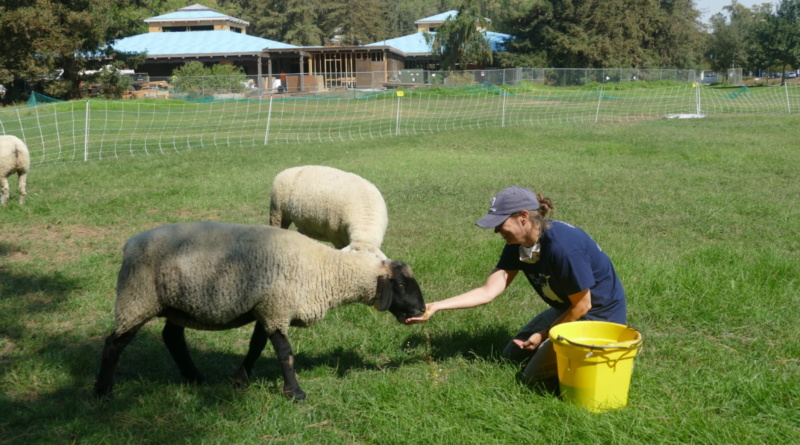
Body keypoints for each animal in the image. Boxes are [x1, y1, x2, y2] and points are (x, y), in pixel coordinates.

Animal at [94, 221, 426, 400]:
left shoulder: (267, 308)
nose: (422, 308)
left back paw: (195, 378)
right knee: (113, 344)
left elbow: (256, 346)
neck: (325, 271)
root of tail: (129, 244)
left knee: (173, 338)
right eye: (401, 285)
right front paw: (295, 392)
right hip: (137, 299)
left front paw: (240, 379)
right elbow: (284, 353)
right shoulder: (276, 307)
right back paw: (103, 392)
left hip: (177, 304)